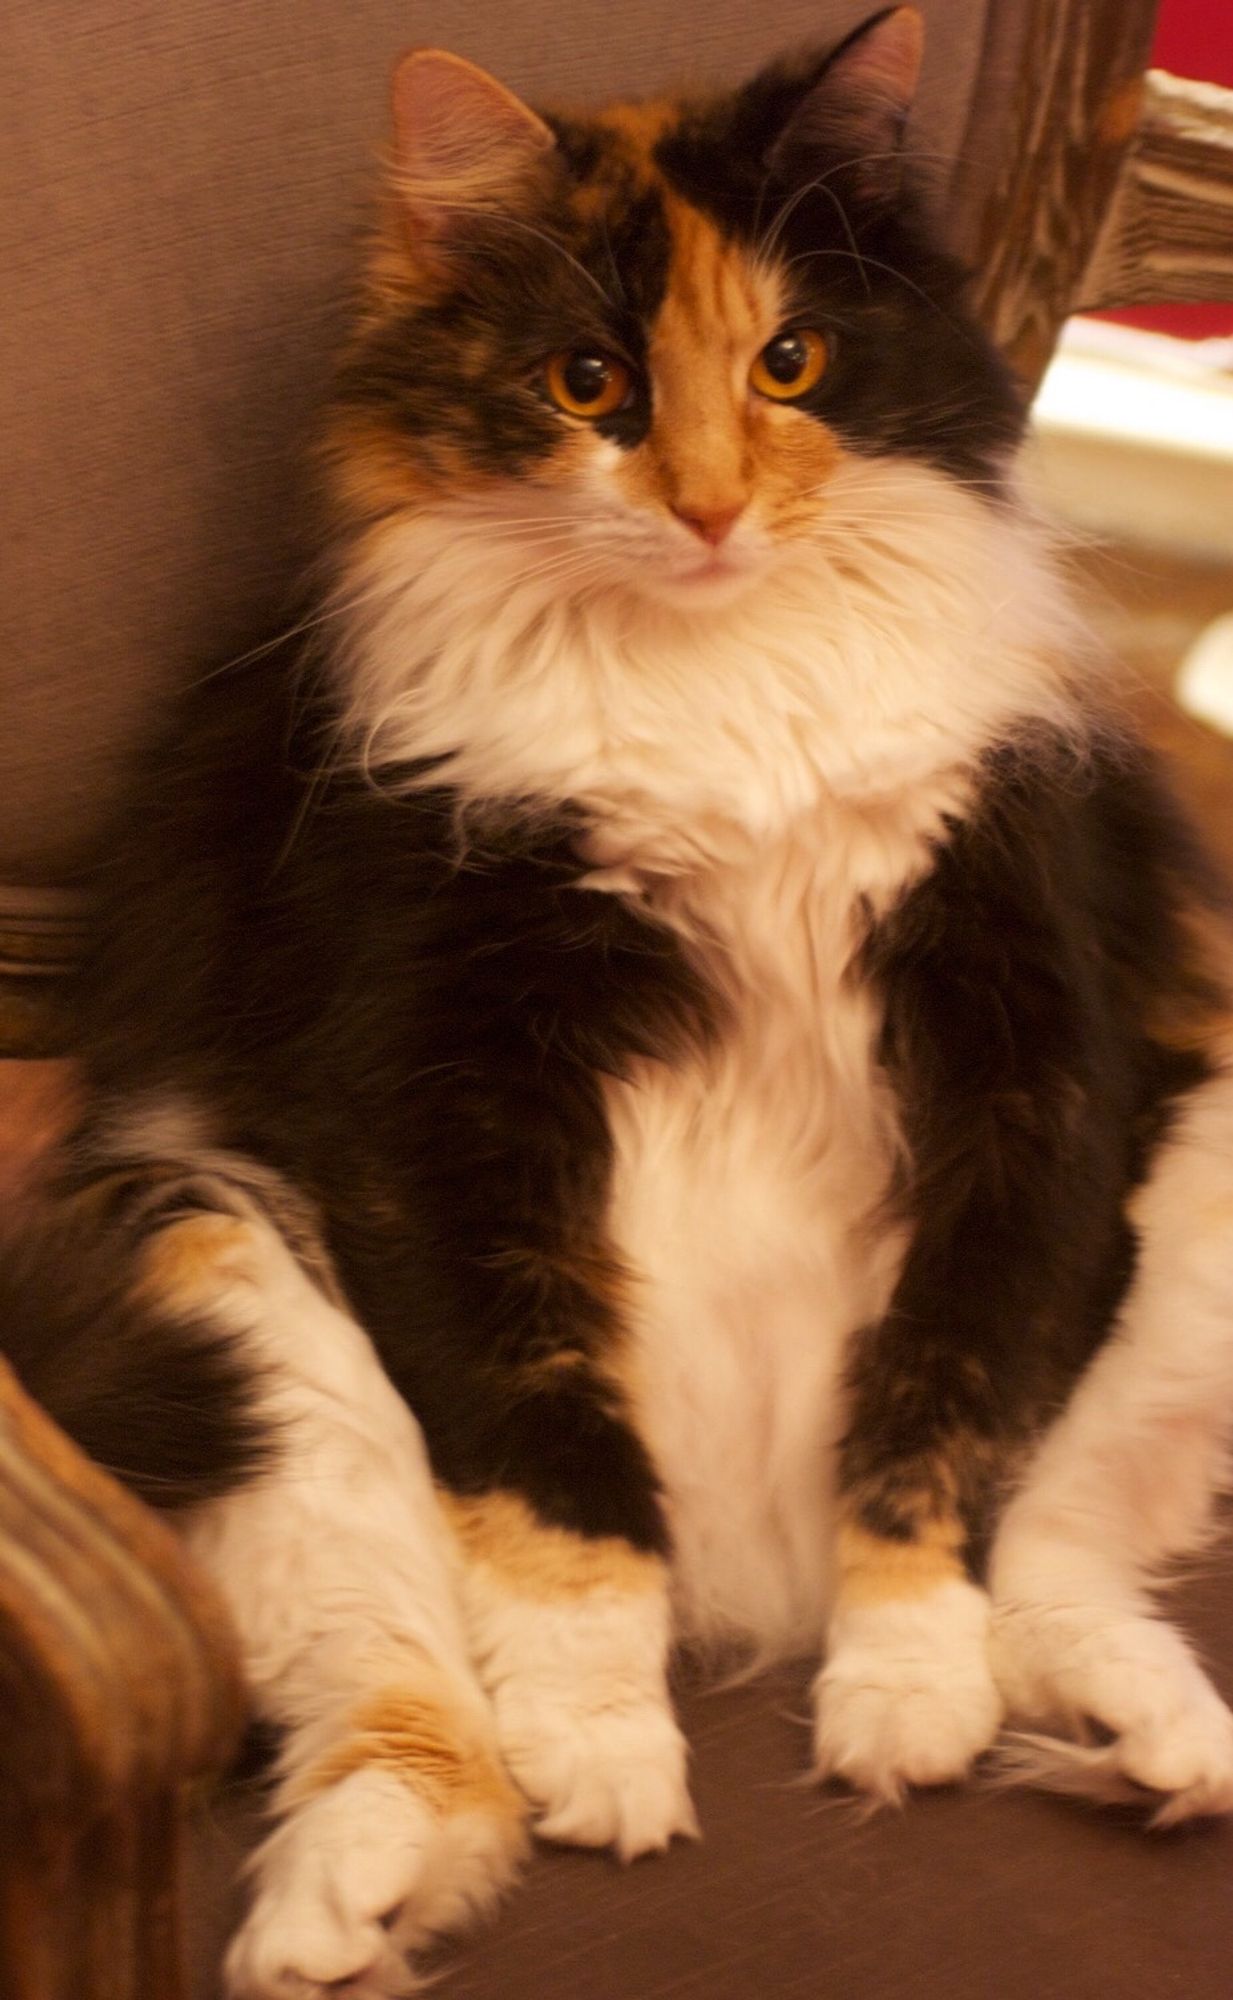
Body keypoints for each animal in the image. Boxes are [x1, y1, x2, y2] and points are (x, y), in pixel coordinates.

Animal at [7, 7, 1233, 1992]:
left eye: (792, 360)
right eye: (590, 385)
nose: (715, 507)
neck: (716, 683)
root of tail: (754, 1587)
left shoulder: (1014, 1055)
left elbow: (935, 1436)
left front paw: (900, 1707)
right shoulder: (449, 1098)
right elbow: (555, 1478)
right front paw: (606, 1754)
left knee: (1054, 1555)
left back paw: (1153, 1741)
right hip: (208, 1266)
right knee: (405, 1713)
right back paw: (335, 1918)